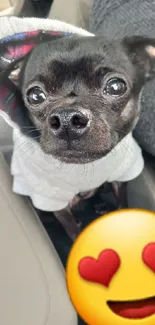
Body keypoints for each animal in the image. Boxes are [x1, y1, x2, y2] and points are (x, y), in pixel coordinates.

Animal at [8, 34, 155, 238]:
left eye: (116, 86)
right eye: (35, 95)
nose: (67, 119)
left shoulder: (119, 180)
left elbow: (122, 204)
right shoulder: (56, 204)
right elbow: (73, 229)